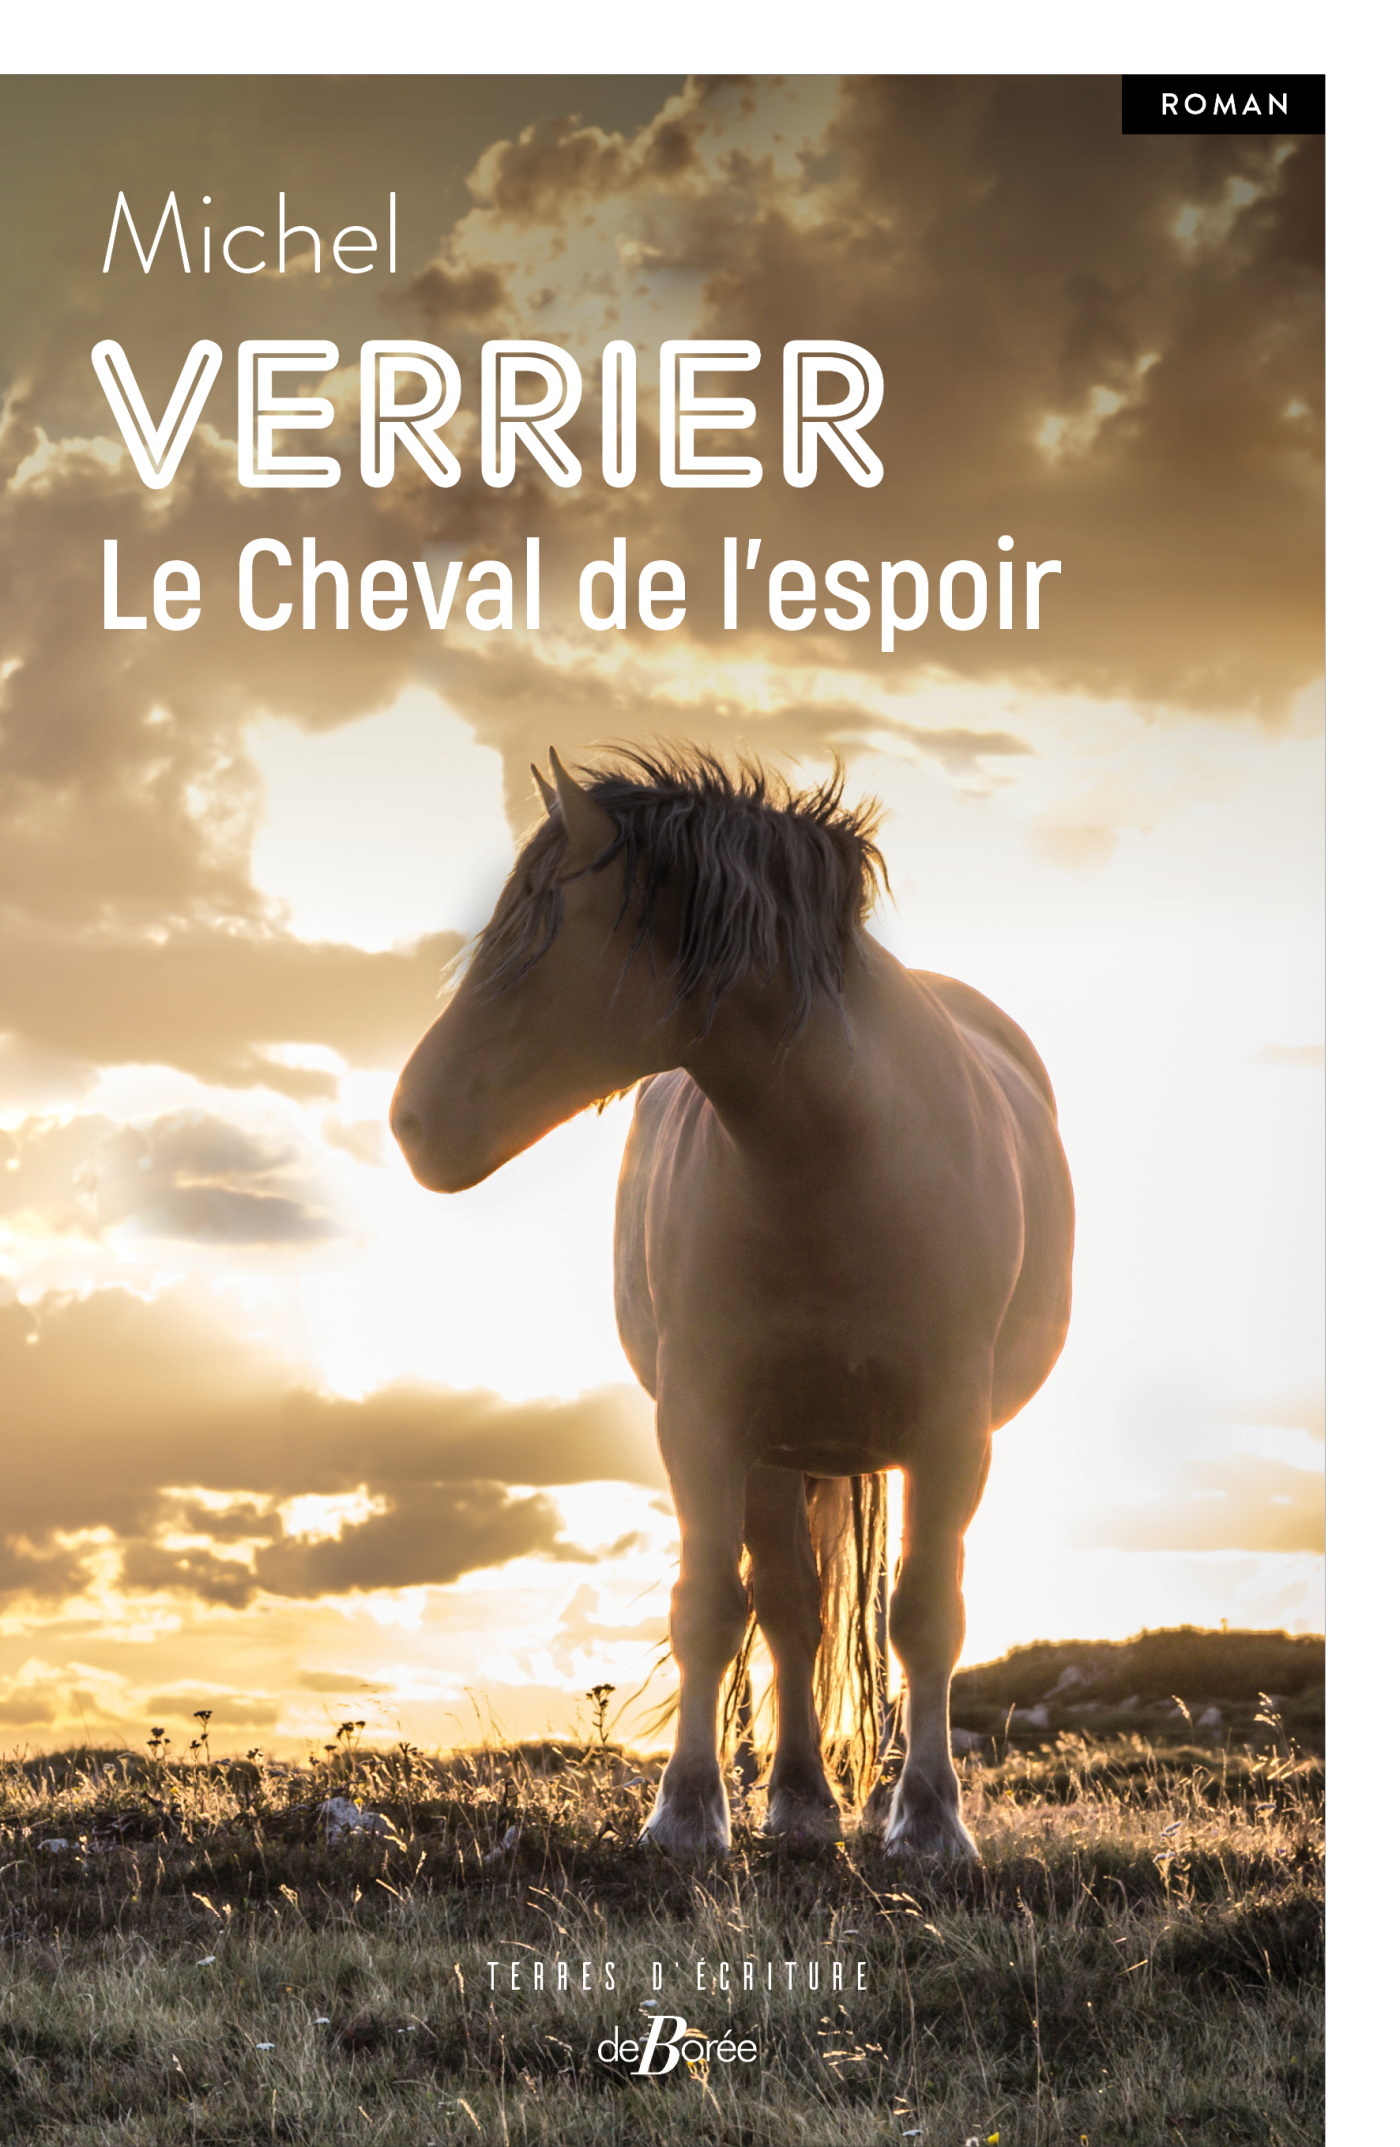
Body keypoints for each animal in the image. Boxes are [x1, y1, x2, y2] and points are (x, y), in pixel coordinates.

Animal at [390, 746, 1074, 1857]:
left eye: (537, 938)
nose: (410, 1120)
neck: (835, 1163)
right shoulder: (705, 1418)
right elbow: (712, 1607)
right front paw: (685, 1811)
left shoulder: (950, 1429)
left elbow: (926, 1614)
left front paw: (931, 1822)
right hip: (773, 1447)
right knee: (793, 1611)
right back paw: (797, 1797)